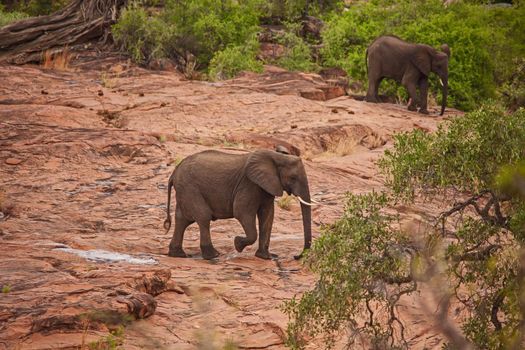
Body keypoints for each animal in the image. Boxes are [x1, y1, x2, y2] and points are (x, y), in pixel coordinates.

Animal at [162, 148, 314, 260]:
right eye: (293, 178)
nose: (296, 256)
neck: (276, 156)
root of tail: (173, 173)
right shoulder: (249, 184)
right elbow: (241, 212)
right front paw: (238, 244)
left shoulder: (266, 186)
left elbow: (267, 215)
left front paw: (265, 257)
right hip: (190, 188)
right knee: (203, 217)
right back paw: (213, 255)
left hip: (185, 189)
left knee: (182, 220)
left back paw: (178, 255)